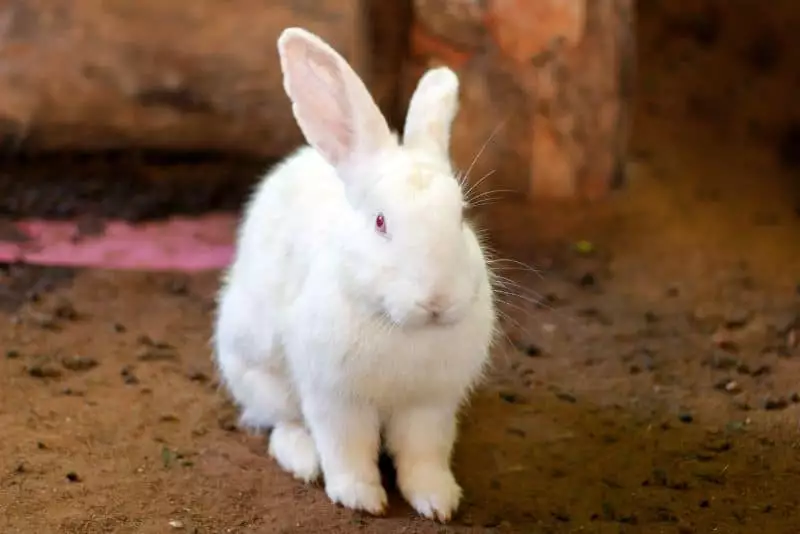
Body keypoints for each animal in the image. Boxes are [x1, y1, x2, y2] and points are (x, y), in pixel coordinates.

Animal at [212, 26, 497, 522]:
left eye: (461, 216)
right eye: (381, 222)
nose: (437, 299)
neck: (401, 327)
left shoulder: (431, 406)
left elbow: (424, 456)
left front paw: (438, 502)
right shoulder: (335, 399)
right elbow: (347, 449)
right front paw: (360, 497)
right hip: (258, 372)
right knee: (279, 422)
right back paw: (303, 459)